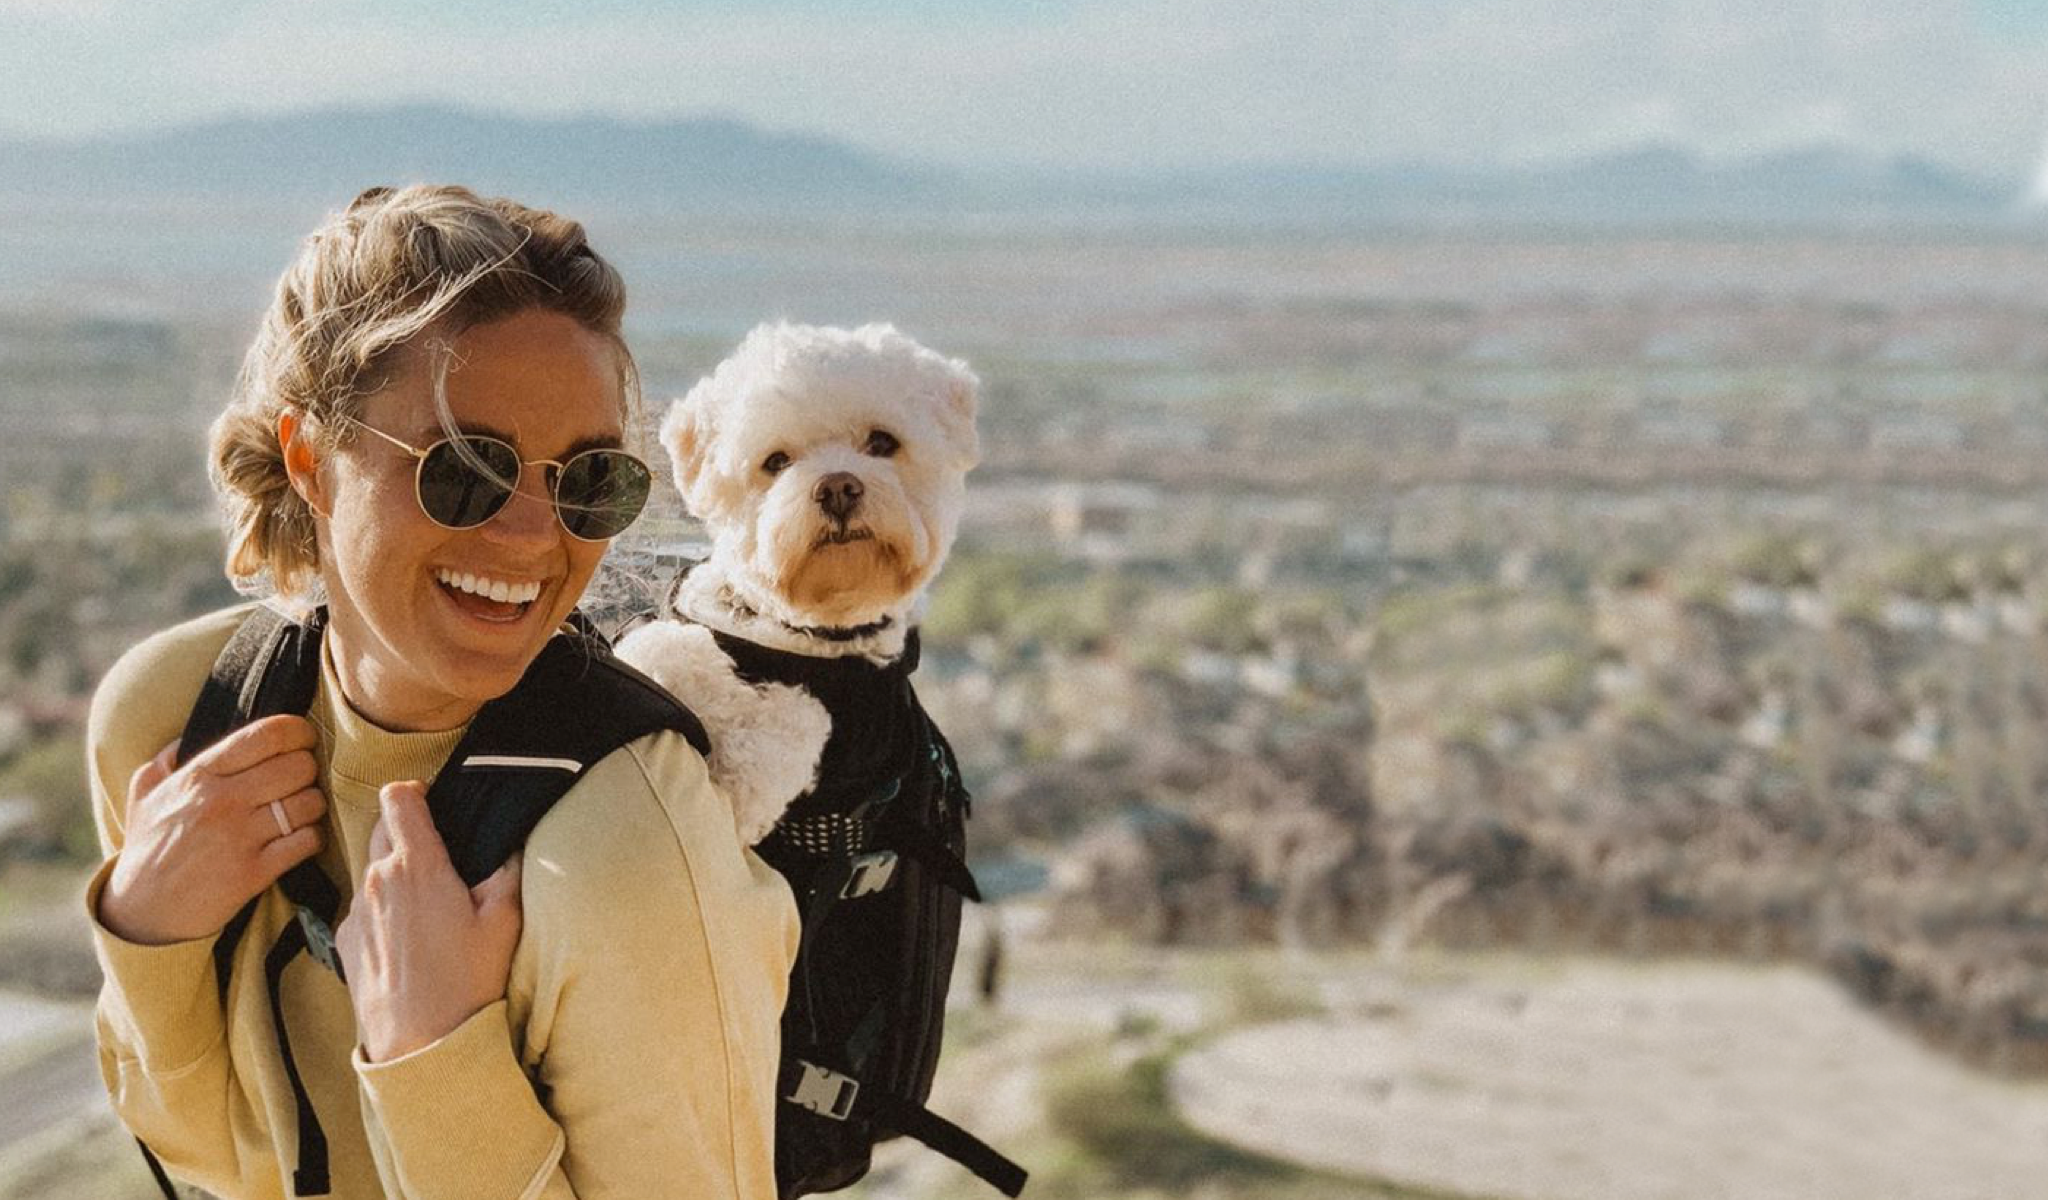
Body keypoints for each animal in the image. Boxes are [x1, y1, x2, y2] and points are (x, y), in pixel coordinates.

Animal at [614, 319, 974, 839]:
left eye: (883, 443)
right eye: (776, 461)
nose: (838, 487)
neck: (799, 628)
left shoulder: (807, 739)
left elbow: (764, 722)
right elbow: (666, 645)